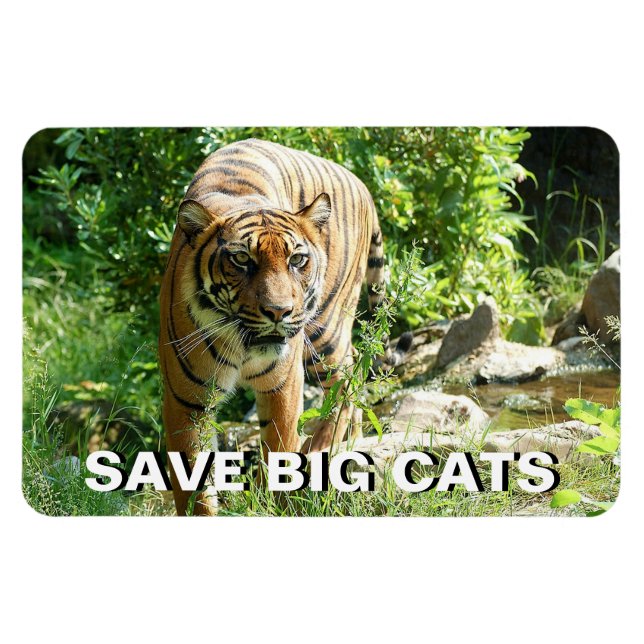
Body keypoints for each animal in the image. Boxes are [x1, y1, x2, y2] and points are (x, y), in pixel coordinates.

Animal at [159, 138, 409, 515]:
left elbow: (280, 448)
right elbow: (193, 486)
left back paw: (322, 446)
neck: (242, 344)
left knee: (346, 377)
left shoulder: (283, 383)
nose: (279, 312)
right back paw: (352, 440)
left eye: (297, 259)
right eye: (241, 259)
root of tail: (361, 184)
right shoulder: (186, 400)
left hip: (324, 330)